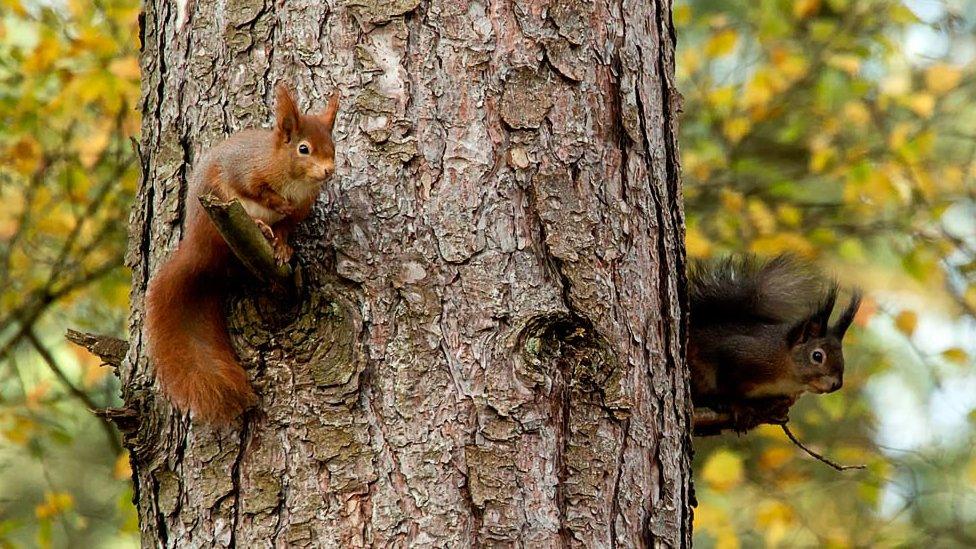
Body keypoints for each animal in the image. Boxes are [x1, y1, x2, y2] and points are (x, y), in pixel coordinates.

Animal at [143, 82, 342, 424]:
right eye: (303, 149)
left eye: (332, 146)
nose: (329, 171)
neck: (294, 181)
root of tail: (197, 248)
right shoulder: (246, 172)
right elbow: (256, 190)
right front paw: (277, 206)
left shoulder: (301, 210)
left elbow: (288, 227)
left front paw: (284, 247)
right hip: (217, 212)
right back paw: (260, 226)